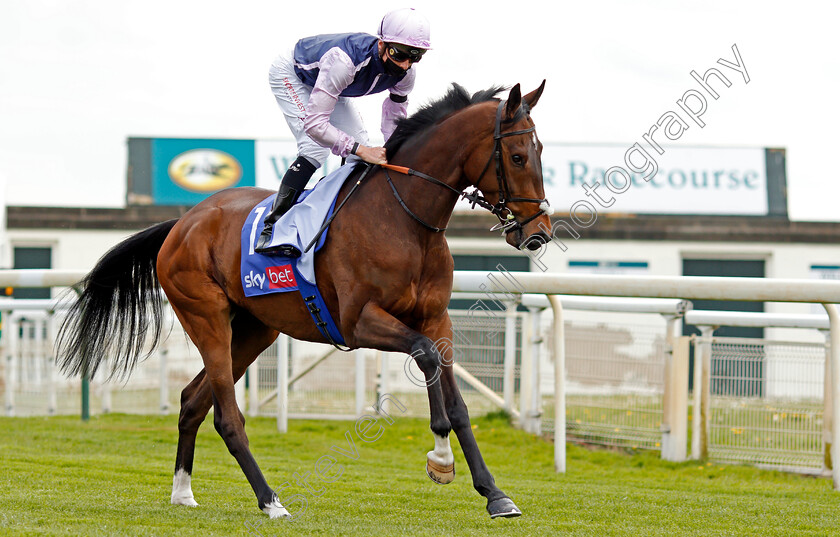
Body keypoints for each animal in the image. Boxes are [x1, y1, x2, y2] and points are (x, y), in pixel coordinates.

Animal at [57, 81, 552, 516]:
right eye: (517, 156)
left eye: (541, 152)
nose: (539, 232)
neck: (404, 221)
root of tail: (182, 223)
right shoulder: (359, 322)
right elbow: (426, 355)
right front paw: (441, 458)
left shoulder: (436, 318)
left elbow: (458, 403)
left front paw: (495, 494)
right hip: (207, 317)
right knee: (226, 417)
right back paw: (270, 501)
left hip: (255, 330)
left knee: (192, 400)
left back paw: (183, 493)